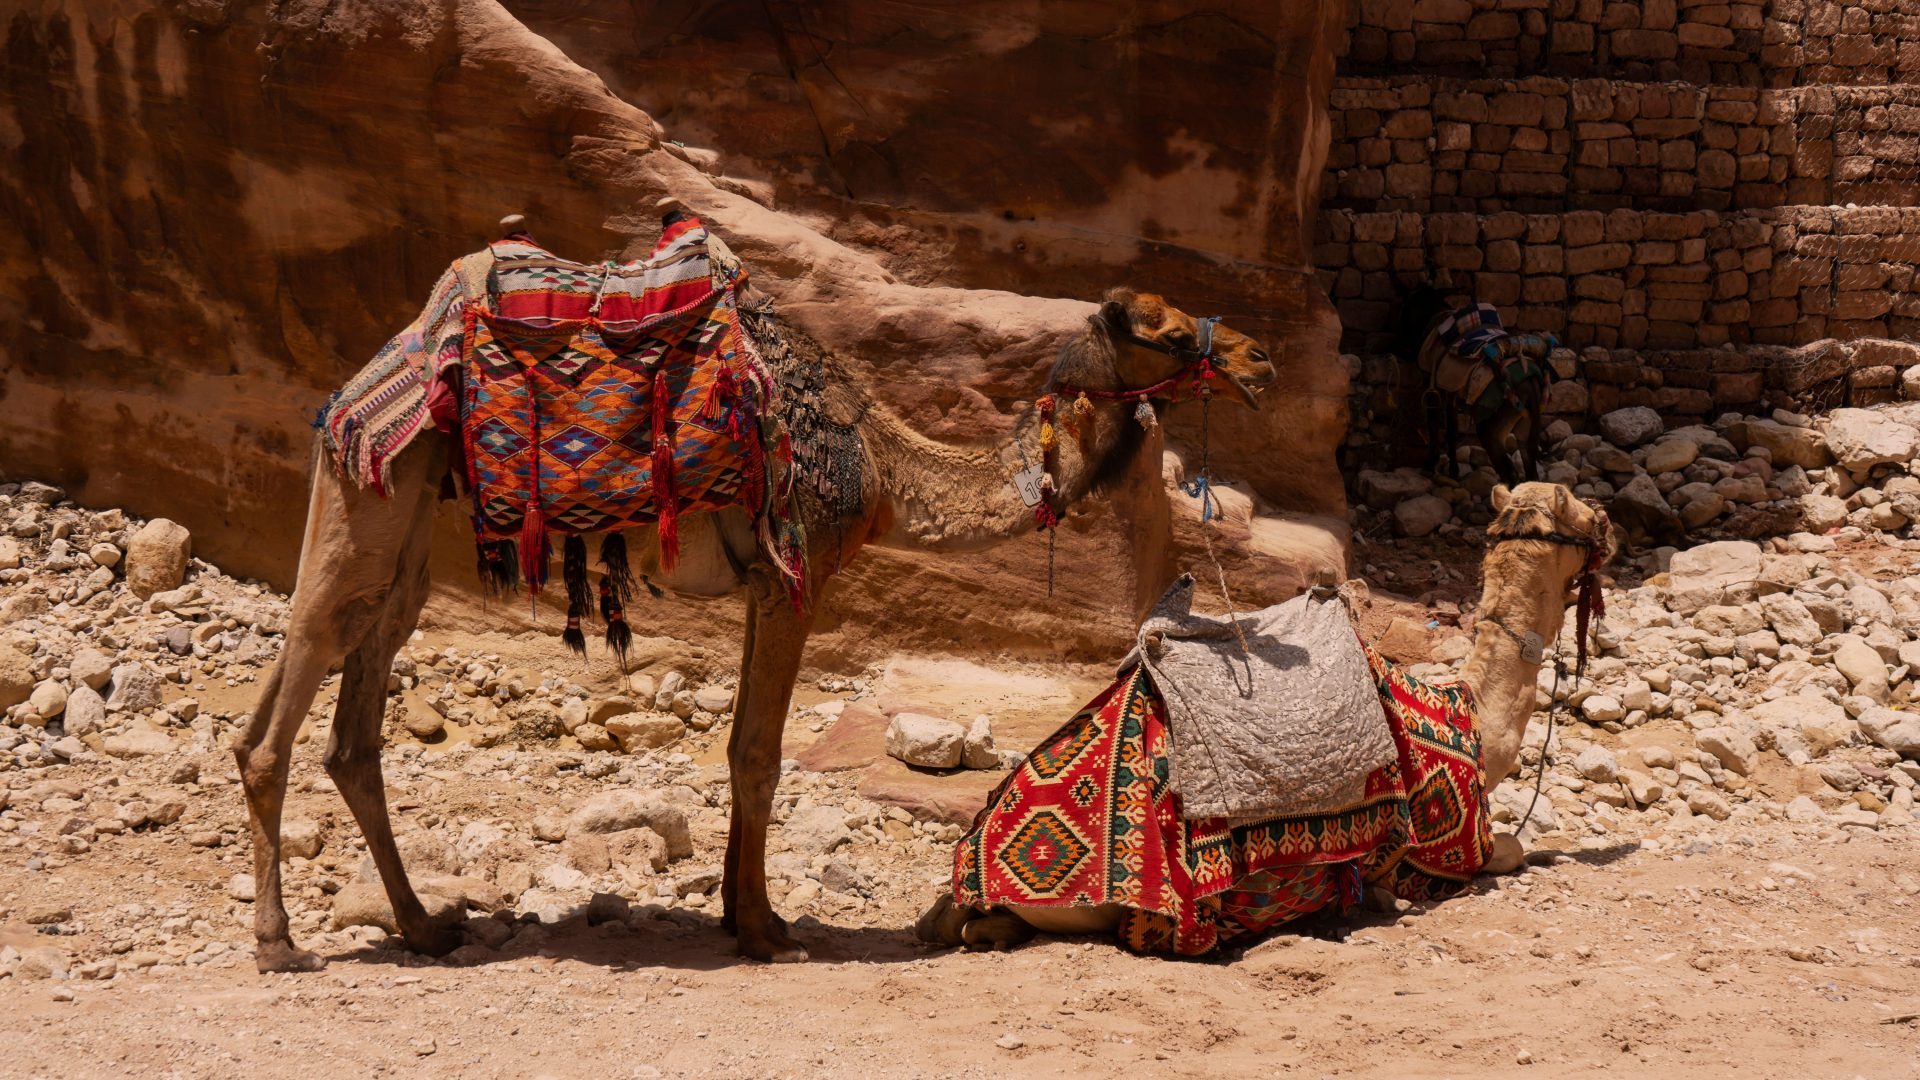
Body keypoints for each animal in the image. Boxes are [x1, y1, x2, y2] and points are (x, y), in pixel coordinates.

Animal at [234, 229, 1279, 972]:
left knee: (346, 713)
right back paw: (280, 944)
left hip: (407, 515)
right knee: (289, 694)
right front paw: (769, 928)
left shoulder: (763, 586)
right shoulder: (798, 572)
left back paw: (422, 927)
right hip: (373, 485)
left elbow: (742, 747)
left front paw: (740, 915)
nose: (1261, 361)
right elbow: (759, 755)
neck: (882, 468)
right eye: (1171, 333)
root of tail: (366, 382)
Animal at [919, 480, 1615, 950]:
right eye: (1584, 511)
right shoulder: (1445, 854)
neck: (1466, 717)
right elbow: (1512, 850)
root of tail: (973, 863)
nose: (1611, 526)